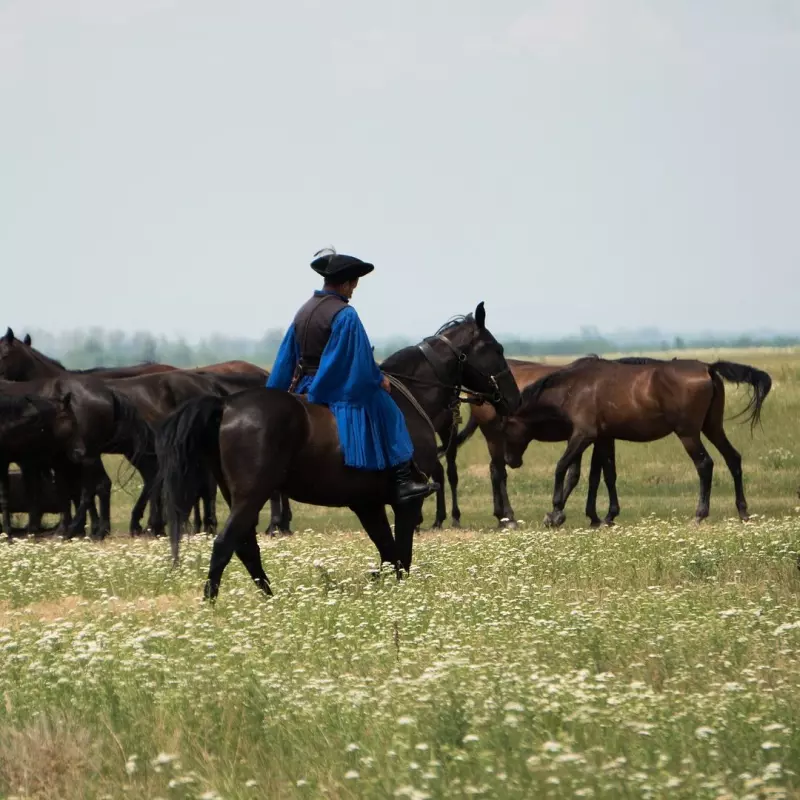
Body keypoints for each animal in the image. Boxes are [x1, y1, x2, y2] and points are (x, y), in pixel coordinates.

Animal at [158, 306, 520, 600]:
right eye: (496, 349)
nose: (513, 399)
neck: (412, 397)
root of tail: (226, 404)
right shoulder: (407, 502)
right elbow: (401, 554)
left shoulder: (367, 504)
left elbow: (389, 553)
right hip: (252, 495)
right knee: (226, 543)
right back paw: (213, 603)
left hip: (238, 496)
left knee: (245, 546)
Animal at [504, 356, 772, 524]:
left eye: (506, 426)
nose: (509, 460)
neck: (575, 387)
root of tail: (707, 367)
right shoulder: (604, 438)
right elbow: (605, 475)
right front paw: (605, 516)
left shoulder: (583, 435)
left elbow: (562, 468)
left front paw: (556, 512)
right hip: (712, 428)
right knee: (733, 458)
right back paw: (743, 511)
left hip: (688, 434)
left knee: (705, 465)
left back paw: (700, 514)